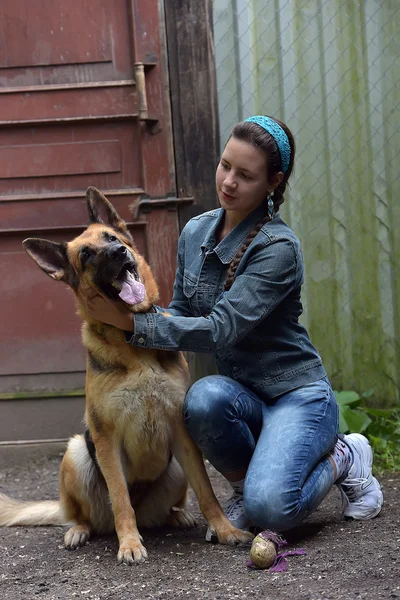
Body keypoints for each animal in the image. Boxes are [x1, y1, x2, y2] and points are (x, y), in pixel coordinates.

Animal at [0, 188, 253, 564]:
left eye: (112, 238)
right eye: (86, 254)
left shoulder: (182, 434)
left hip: (176, 468)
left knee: (170, 506)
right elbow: (120, 499)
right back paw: (80, 530)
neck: (133, 341)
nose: (119, 252)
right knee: (82, 515)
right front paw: (130, 544)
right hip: (76, 452)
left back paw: (178, 516)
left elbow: (208, 492)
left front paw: (225, 530)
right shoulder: (107, 439)